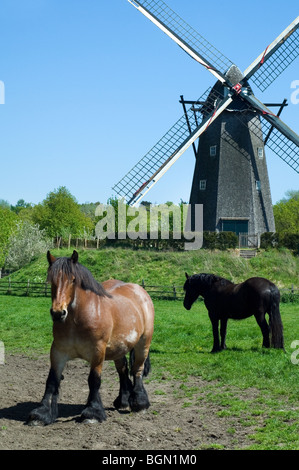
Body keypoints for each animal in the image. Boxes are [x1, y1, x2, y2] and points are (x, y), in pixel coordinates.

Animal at [26, 252, 155, 424]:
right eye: (51, 280)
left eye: (73, 279)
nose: (58, 313)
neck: (78, 319)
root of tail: (140, 291)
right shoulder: (58, 351)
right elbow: (52, 380)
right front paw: (42, 413)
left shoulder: (98, 351)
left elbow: (94, 379)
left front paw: (92, 412)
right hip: (119, 348)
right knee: (123, 370)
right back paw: (123, 400)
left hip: (143, 343)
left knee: (137, 369)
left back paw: (140, 403)